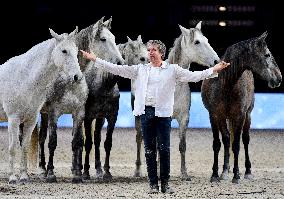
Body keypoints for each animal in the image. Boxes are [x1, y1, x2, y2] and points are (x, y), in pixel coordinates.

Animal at [0, 27, 81, 183]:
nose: (77, 77)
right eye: (64, 51)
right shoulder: (13, 119)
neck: (24, 77)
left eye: (76, 50)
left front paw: (23, 177)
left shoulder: (30, 120)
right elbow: (13, 147)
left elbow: (24, 147)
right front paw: (12, 177)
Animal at [168, 21, 221, 180]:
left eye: (206, 40)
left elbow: (182, 146)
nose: (216, 61)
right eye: (197, 42)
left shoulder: (184, 119)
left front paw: (184, 174)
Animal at [202, 32, 282, 183]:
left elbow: (237, 145)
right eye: (267, 54)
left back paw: (248, 172)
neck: (226, 84)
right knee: (227, 140)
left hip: (248, 115)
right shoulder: (215, 115)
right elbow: (219, 143)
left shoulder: (240, 115)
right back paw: (225, 171)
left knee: (245, 140)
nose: (279, 78)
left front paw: (237, 175)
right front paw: (215, 174)